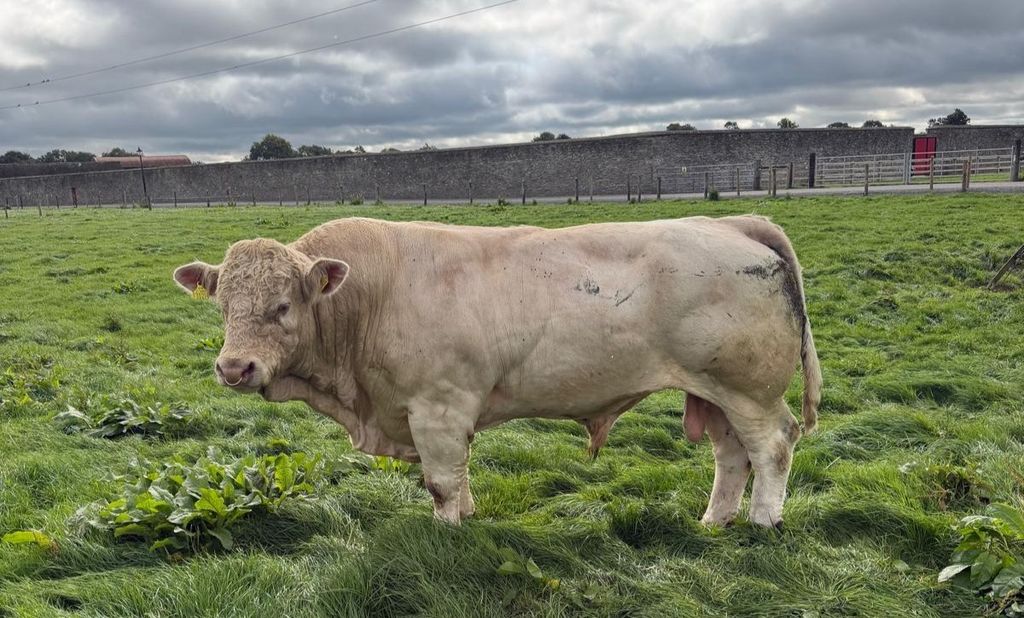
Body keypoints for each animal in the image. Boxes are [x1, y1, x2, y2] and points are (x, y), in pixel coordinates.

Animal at [173, 215, 821, 528]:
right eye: (223, 303)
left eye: (282, 306)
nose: (234, 367)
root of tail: (732, 222)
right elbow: (457, 479)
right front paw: (466, 516)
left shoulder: (436, 407)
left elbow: (440, 481)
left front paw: (447, 533)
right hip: (716, 393)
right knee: (732, 456)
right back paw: (715, 520)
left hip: (750, 390)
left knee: (773, 448)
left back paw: (763, 521)